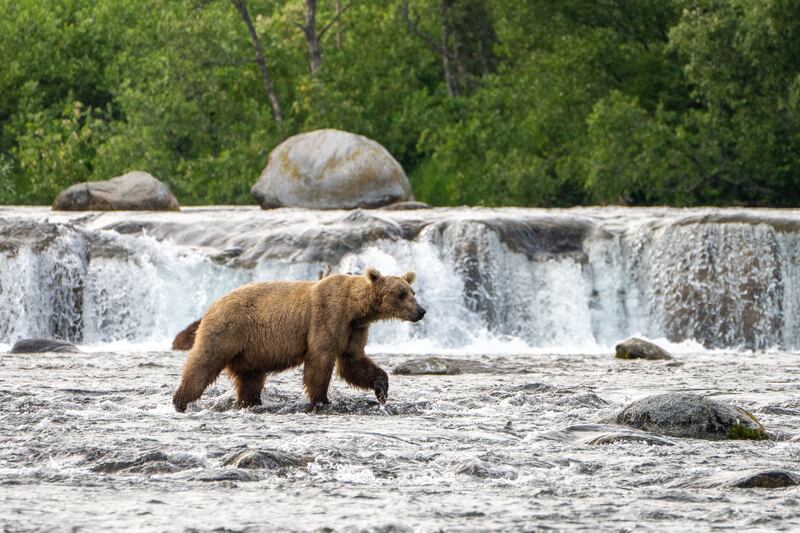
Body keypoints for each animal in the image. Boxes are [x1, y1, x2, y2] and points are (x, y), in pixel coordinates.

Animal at [173, 270, 428, 412]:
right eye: (401, 294)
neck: (355, 308)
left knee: (250, 381)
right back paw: (181, 401)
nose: (421, 311)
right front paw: (322, 400)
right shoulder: (327, 316)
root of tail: (213, 304)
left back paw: (249, 403)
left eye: (412, 291)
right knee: (203, 363)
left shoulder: (354, 329)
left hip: (250, 352)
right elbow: (320, 360)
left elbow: (353, 362)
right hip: (228, 330)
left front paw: (381, 388)